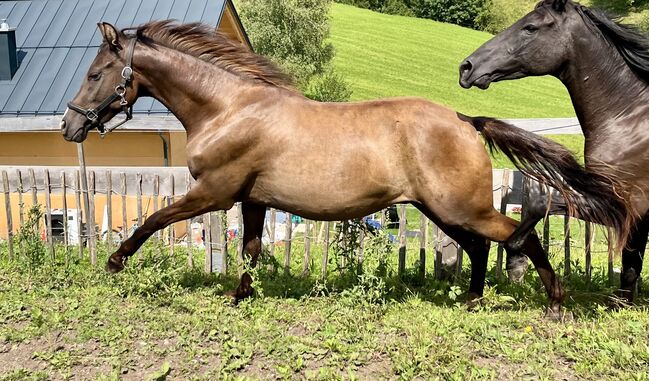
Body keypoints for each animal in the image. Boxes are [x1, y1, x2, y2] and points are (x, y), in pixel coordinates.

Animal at [60, 20, 596, 312]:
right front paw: (241, 295)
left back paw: (555, 301)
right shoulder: (252, 199)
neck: (228, 109)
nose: (69, 125)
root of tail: (466, 120)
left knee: (516, 235)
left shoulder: (215, 191)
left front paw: (115, 261)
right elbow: (251, 248)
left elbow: (154, 218)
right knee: (482, 245)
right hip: (443, 208)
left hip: (459, 206)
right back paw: (473, 299)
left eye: (96, 73)